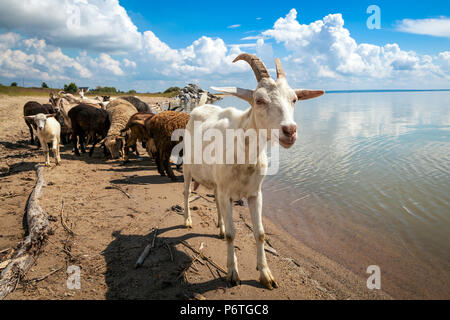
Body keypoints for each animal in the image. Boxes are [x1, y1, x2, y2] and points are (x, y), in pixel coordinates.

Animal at [182, 53, 324, 290]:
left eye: (294, 99)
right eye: (259, 100)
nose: (290, 131)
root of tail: (198, 108)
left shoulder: (255, 193)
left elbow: (260, 233)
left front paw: (266, 274)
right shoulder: (227, 191)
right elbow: (233, 235)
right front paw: (232, 273)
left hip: (217, 183)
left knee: (215, 198)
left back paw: (220, 227)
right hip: (186, 167)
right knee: (185, 193)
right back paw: (187, 220)